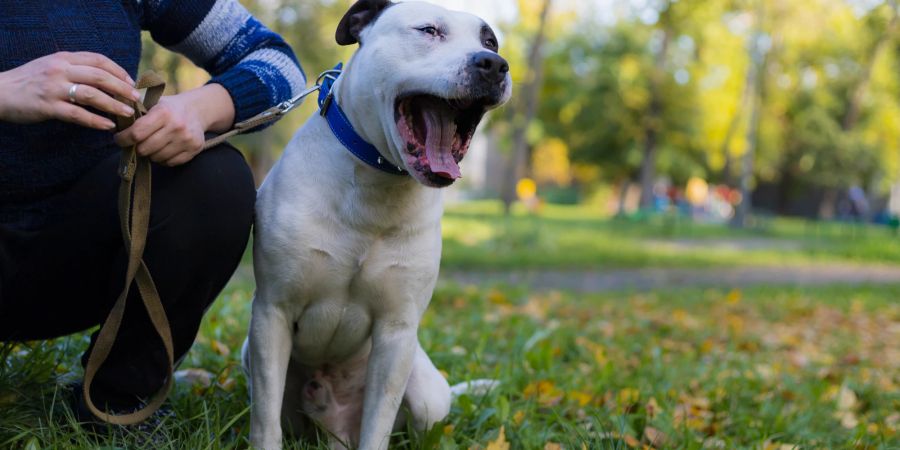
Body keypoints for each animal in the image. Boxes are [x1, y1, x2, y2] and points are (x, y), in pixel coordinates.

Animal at [246, 0, 510, 448]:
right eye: (429, 30)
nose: (493, 64)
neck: (376, 185)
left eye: (490, 41)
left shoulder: (397, 331)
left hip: (424, 393)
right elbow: (264, 421)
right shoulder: (272, 313)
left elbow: (379, 421)